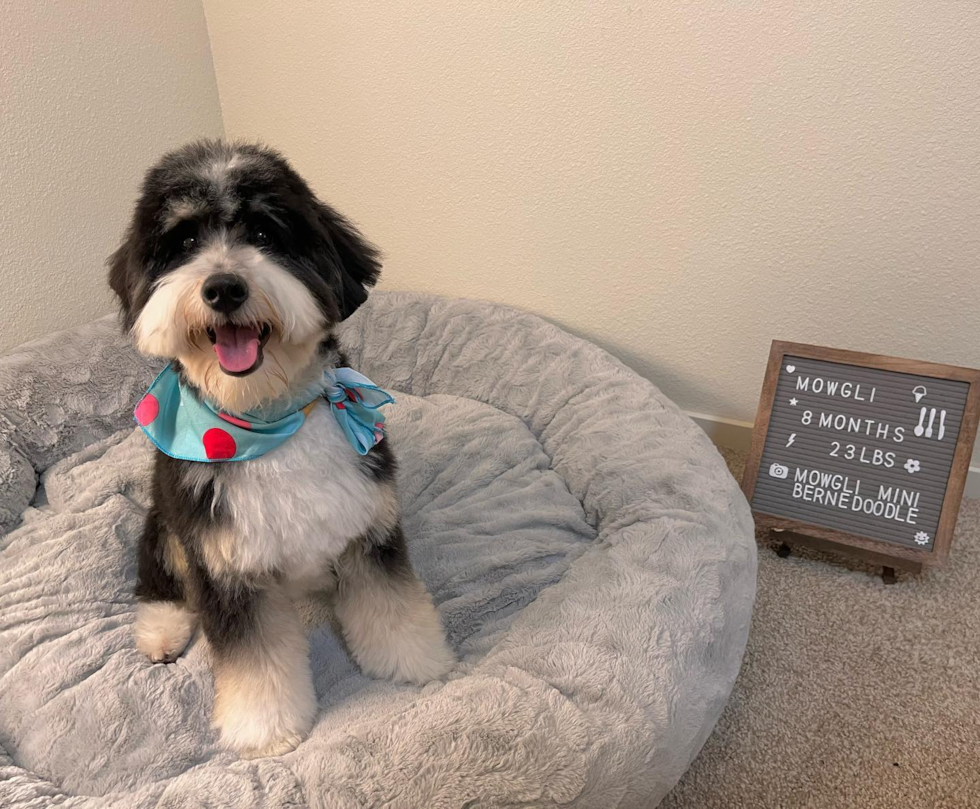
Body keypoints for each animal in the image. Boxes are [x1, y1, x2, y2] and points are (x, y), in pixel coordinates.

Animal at [109, 137, 454, 756]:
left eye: (265, 233)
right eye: (184, 243)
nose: (224, 287)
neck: (269, 424)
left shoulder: (368, 527)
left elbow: (393, 607)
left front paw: (416, 665)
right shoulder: (225, 566)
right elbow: (256, 663)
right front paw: (264, 729)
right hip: (167, 527)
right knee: (158, 580)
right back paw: (161, 632)